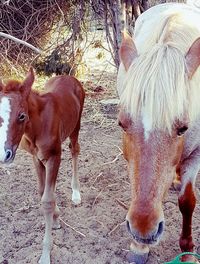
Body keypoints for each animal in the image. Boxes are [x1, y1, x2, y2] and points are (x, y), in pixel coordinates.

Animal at [0, 67, 85, 262]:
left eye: (21, 116)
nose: (4, 154)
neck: (37, 126)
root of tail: (68, 76)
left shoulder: (54, 157)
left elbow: (47, 200)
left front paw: (45, 254)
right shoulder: (36, 157)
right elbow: (43, 192)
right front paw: (56, 217)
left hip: (76, 124)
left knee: (75, 149)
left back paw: (76, 193)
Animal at [117, 2, 200, 264]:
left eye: (183, 128)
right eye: (122, 124)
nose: (143, 231)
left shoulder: (197, 154)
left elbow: (187, 201)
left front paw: (187, 250)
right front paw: (139, 247)